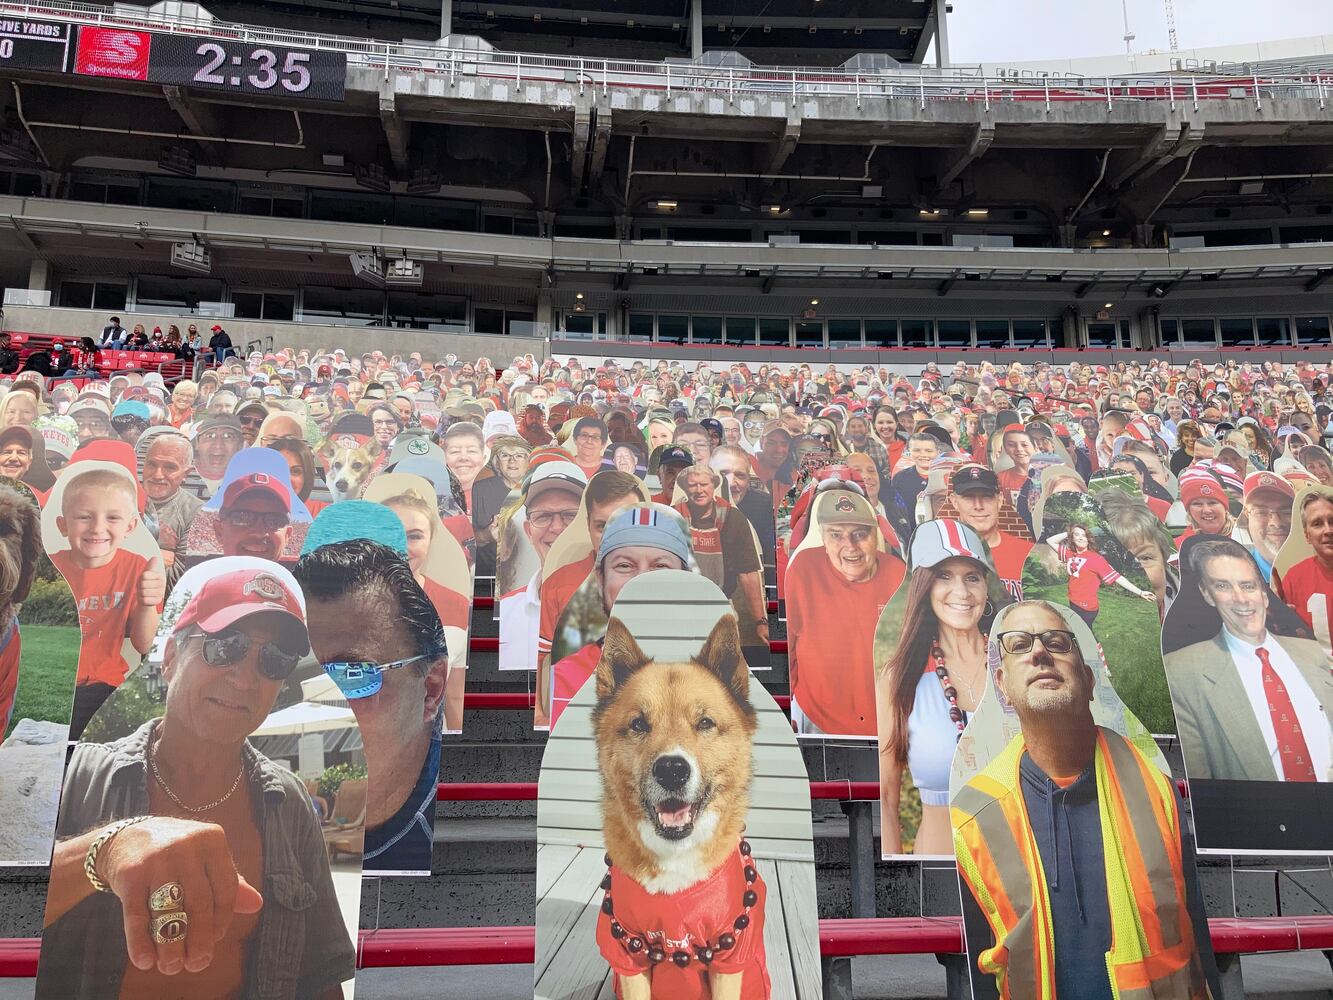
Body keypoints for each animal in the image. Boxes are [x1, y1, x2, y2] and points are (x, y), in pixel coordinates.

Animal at [594, 616, 773, 997]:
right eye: (639, 724)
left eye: (704, 722)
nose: (672, 770)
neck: (675, 856)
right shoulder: (626, 954)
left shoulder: (731, 955)